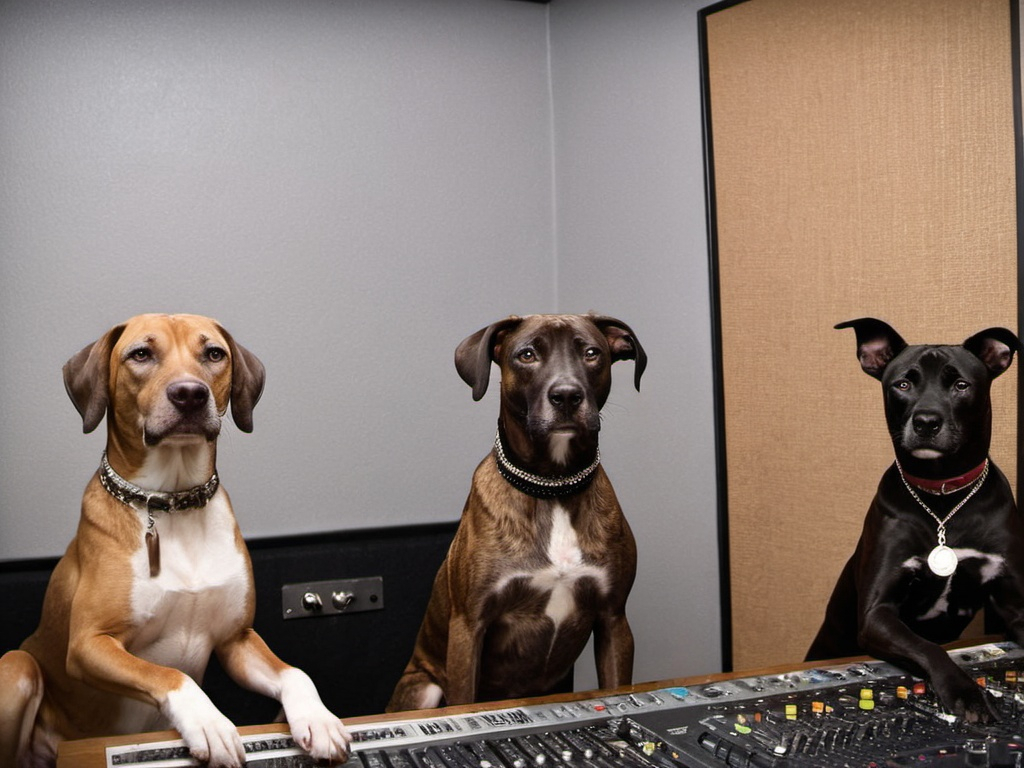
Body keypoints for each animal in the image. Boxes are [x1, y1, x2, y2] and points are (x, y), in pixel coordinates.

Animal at [0, 313, 350, 768]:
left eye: (214, 353)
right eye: (141, 354)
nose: (190, 394)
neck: (173, 504)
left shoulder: (237, 640)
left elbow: (296, 673)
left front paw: (319, 719)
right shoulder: (89, 644)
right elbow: (170, 673)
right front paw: (210, 724)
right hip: (17, 666)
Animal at [387, 315, 643, 712]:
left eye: (591, 353)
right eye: (526, 355)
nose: (566, 395)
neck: (552, 487)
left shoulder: (613, 619)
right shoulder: (469, 627)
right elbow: (464, 698)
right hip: (424, 688)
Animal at [806, 317, 1024, 720]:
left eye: (960, 385)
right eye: (903, 384)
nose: (926, 421)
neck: (943, 497)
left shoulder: (1013, 601)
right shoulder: (877, 614)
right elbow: (926, 646)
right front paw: (966, 692)